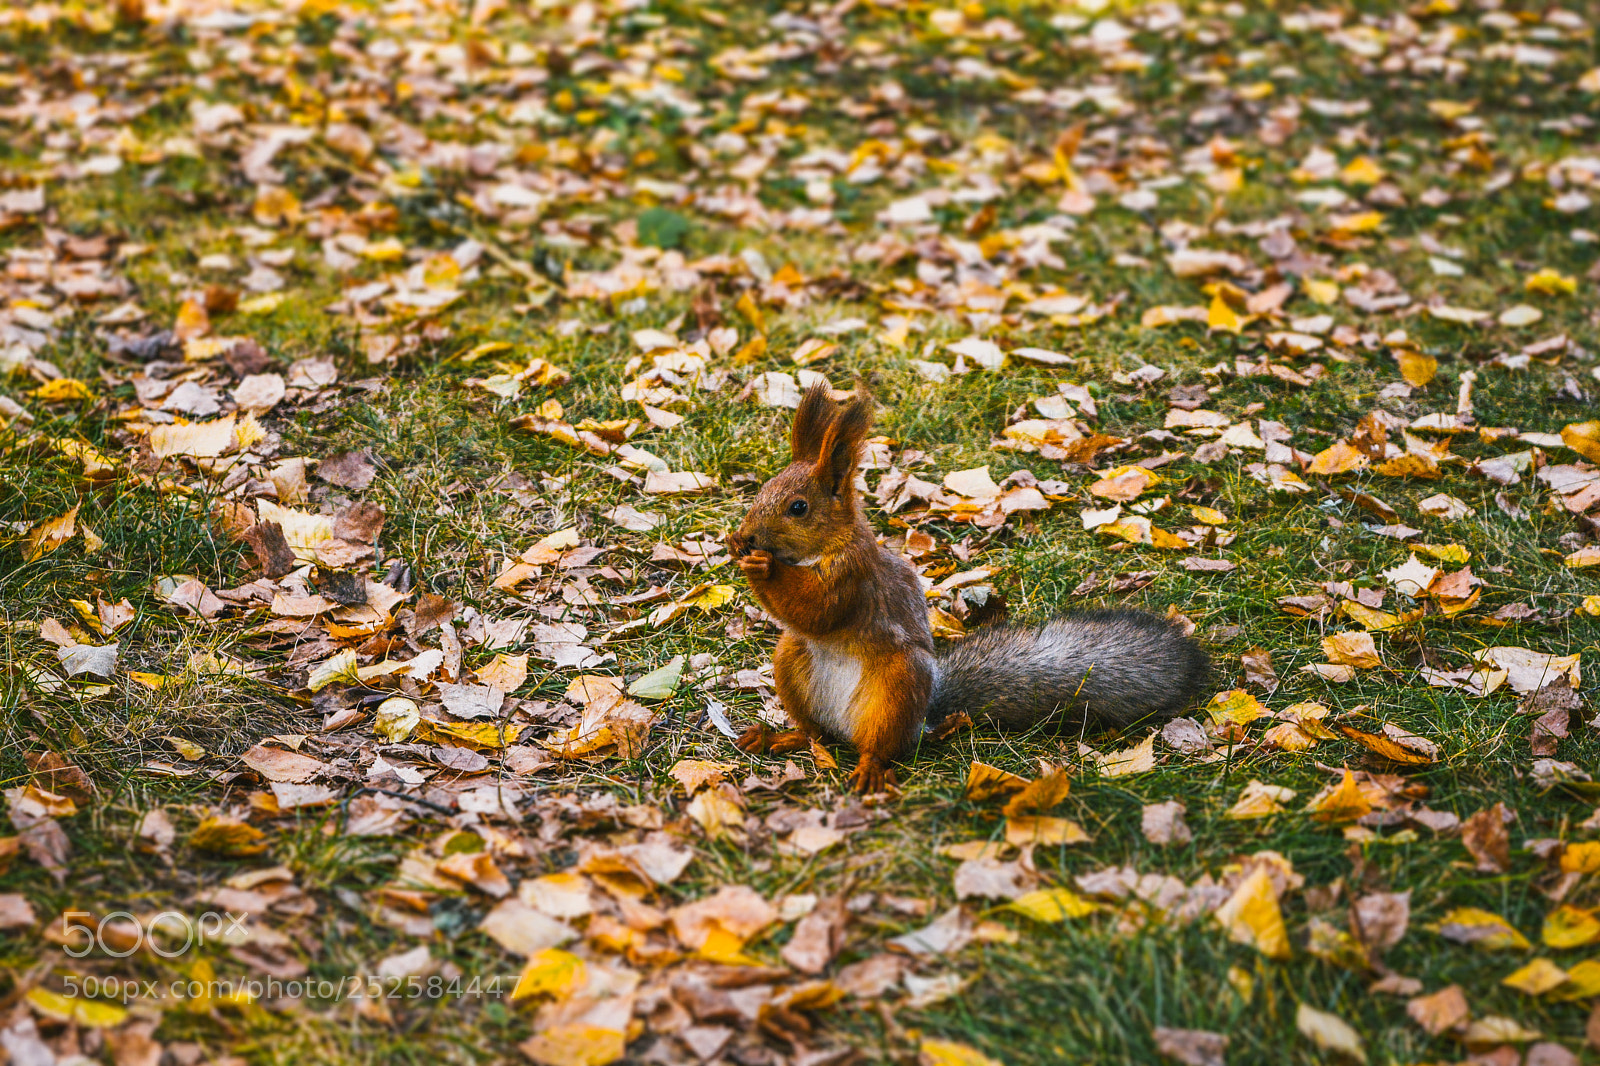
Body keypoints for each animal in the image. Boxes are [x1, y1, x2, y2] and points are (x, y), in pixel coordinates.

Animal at [729, 381, 1210, 793]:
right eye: (764, 488)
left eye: (798, 508)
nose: (748, 535)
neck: (821, 549)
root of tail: (923, 716)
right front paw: (737, 547)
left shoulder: (854, 576)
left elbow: (817, 609)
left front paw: (761, 565)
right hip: (793, 662)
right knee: (817, 736)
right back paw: (780, 738)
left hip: (896, 686)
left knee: (881, 748)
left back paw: (871, 767)